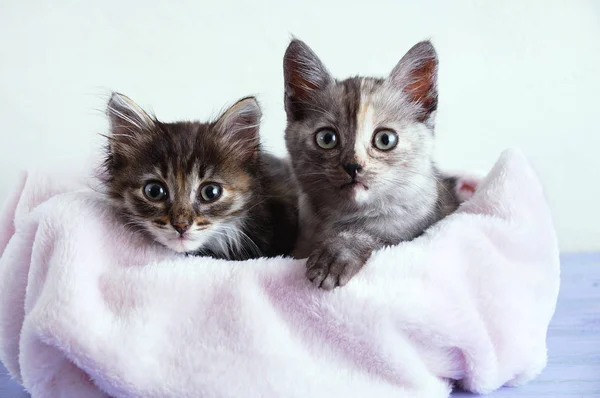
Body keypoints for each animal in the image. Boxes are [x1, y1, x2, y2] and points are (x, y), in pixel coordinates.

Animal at [284, 39, 462, 290]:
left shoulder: (413, 231)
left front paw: (336, 255)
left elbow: (378, 237)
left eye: (385, 139)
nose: (353, 166)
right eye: (327, 138)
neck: (347, 218)